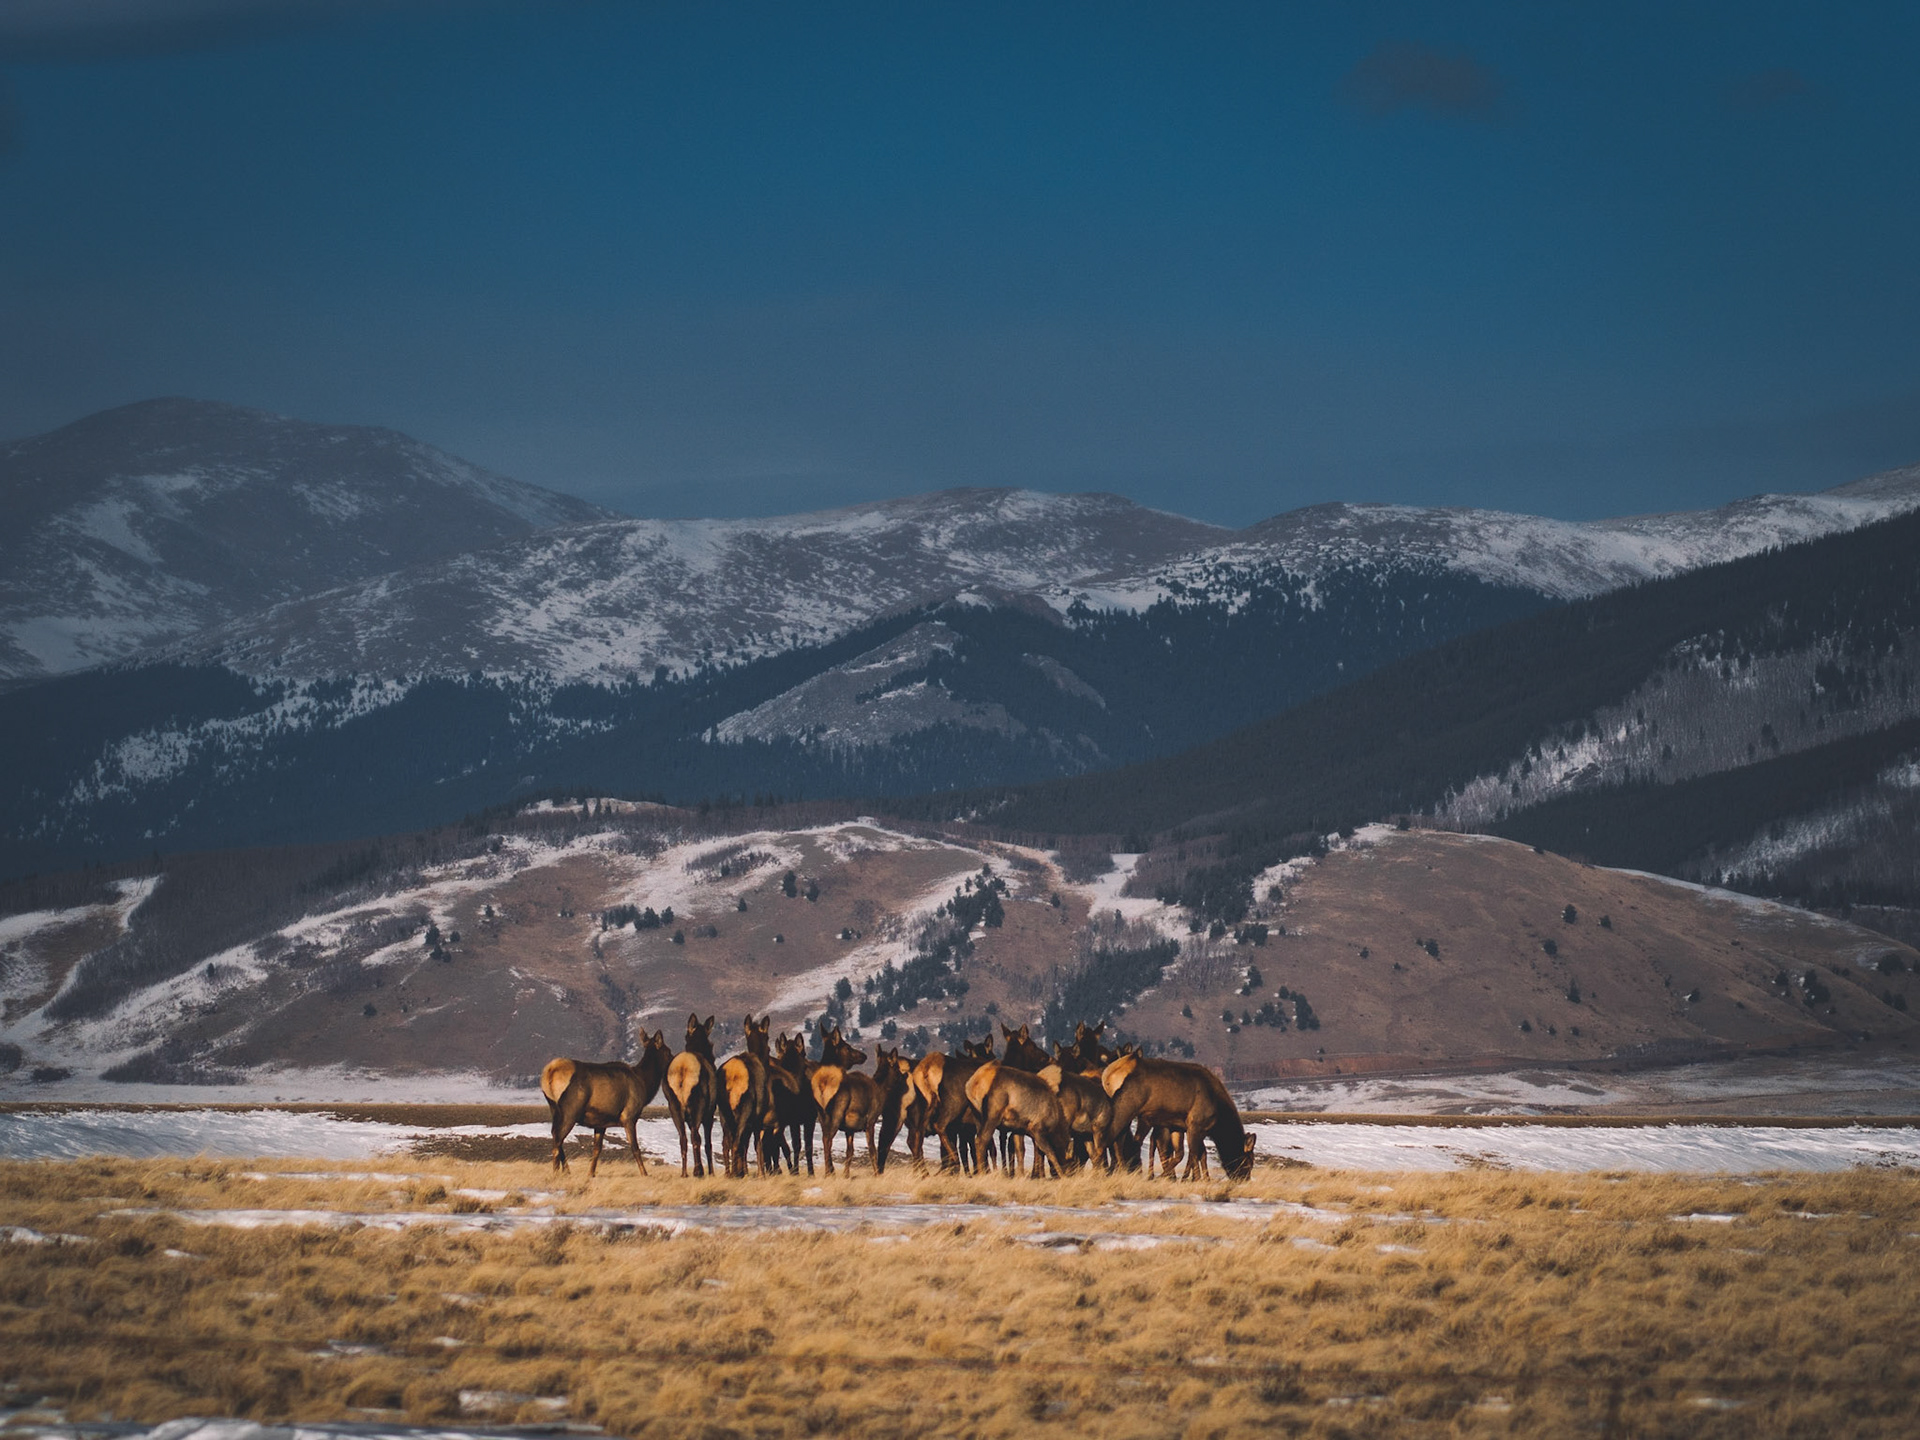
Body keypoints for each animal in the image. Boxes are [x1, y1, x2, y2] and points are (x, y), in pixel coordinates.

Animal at [539, 1028, 674, 1177]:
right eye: (668, 1051)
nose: (674, 1062)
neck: (645, 1085)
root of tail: (550, 1072)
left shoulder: (600, 1122)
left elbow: (597, 1149)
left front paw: (591, 1174)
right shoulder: (629, 1116)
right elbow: (635, 1148)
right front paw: (645, 1173)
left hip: (554, 1109)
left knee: (556, 1136)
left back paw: (567, 1171)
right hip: (570, 1111)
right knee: (557, 1141)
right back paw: (556, 1173)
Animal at [665, 1013, 719, 1178]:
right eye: (710, 1043)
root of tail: (683, 1067)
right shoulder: (709, 1113)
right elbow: (708, 1144)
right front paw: (711, 1172)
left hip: (674, 1106)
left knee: (683, 1138)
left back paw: (684, 1172)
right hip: (698, 1104)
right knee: (696, 1136)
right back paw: (698, 1170)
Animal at [1101, 1054, 1256, 1180]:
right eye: (1248, 1162)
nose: (1245, 1179)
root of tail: (1108, 1073)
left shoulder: (1178, 1126)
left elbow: (1186, 1153)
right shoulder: (1196, 1124)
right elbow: (1195, 1153)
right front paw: (1194, 1179)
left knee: (1120, 1141)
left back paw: (1120, 1170)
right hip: (1128, 1107)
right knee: (1114, 1137)